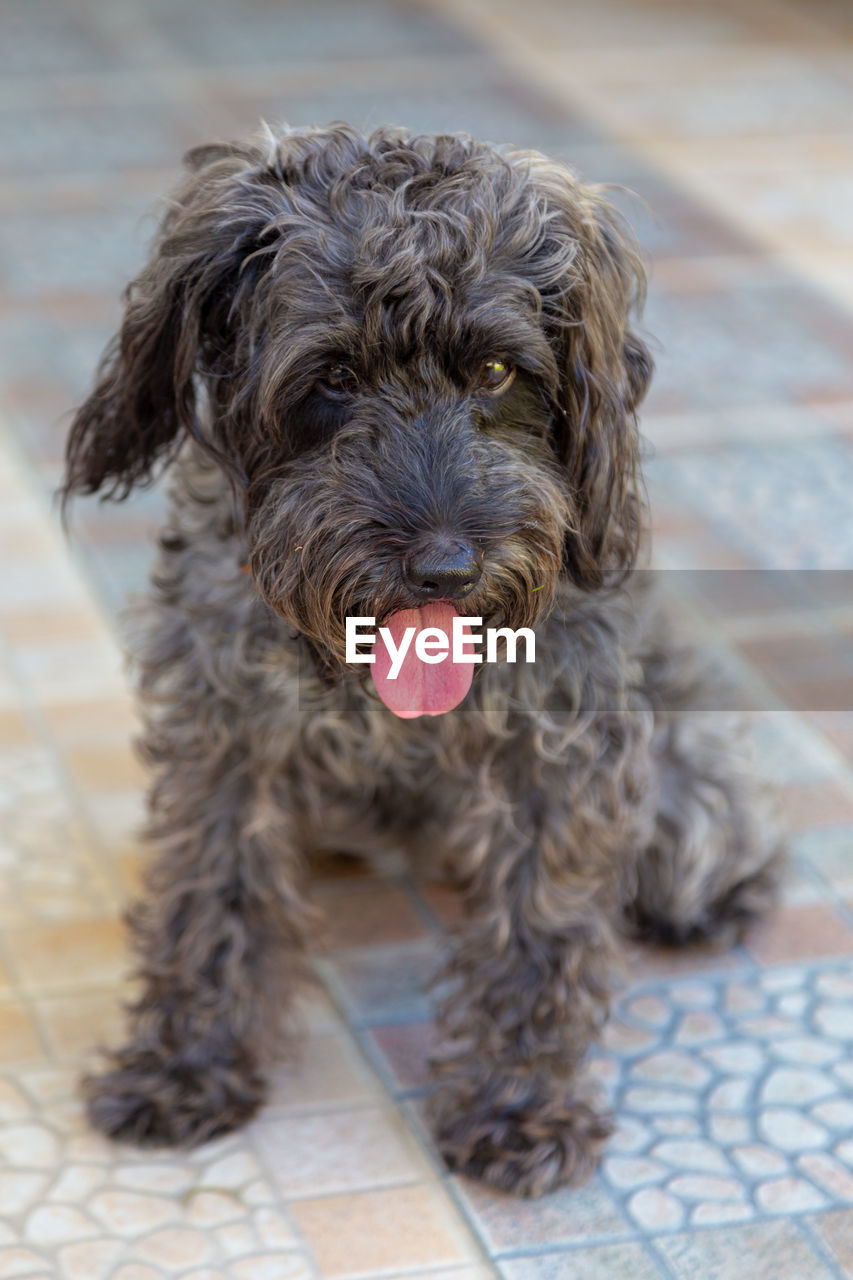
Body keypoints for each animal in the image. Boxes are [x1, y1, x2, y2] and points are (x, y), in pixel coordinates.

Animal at [61, 124, 778, 1192]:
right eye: (331, 377)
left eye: (496, 374)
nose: (444, 566)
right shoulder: (225, 736)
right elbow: (210, 892)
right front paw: (185, 1064)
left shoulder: (557, 753)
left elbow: (539, 928)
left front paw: (517, 1106)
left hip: (689, 799)